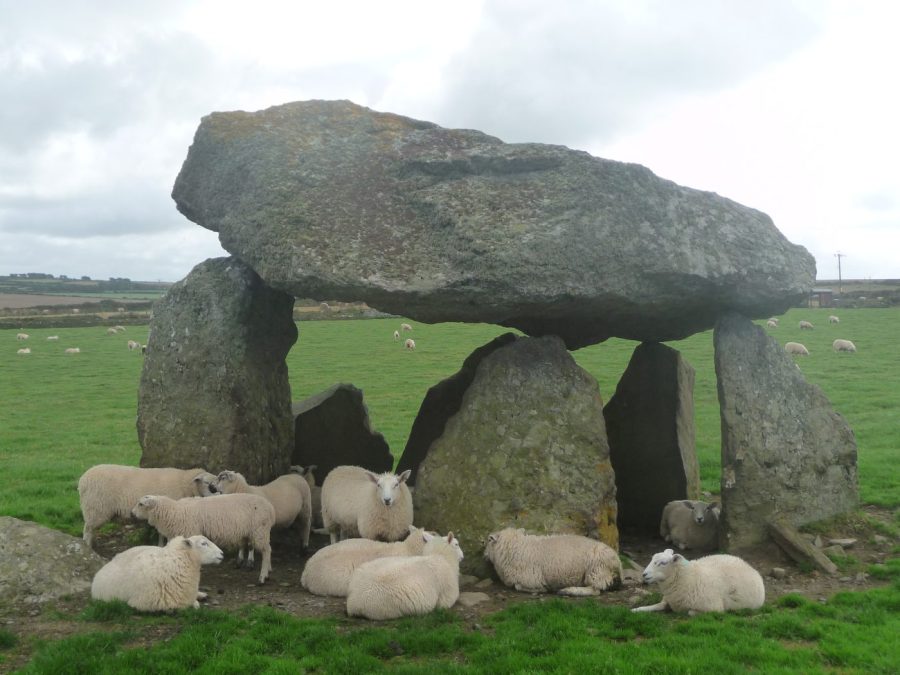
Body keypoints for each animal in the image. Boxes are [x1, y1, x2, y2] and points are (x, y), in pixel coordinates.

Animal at [80, 464, 222, 548]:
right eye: (206, 482)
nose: (217, 493)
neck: (184, 483)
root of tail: (83, 480)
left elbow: (160, 532)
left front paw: (160, 545)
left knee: (90, 528)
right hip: (96, 507)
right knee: (87, 529)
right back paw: (87, 547)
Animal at [132, 494, 276, 584]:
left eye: (141, 504)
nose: (131, 513)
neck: (174, 511)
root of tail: (271, 508)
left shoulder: (191, 532)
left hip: (259, 530)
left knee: (267, 551)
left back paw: (262, 577)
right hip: (257, 532)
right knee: (268, 549)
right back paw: (268, 571)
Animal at [482, 528, 624, 596]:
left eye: (489, 540)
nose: (484, 554)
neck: (517, 546)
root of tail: (618, 563)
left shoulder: (531, 579)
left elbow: (518, 587)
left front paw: (542, 590)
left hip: (597, 570)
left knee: (596, 590)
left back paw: (568, 591)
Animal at [628, 548, 764, 616]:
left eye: (663, 563)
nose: (644, 574)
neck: (689, 576)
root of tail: (747, 564)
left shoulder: (714, 608)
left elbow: (690, 612)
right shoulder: (669, 600)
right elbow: (655, 606)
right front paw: (636, 610)